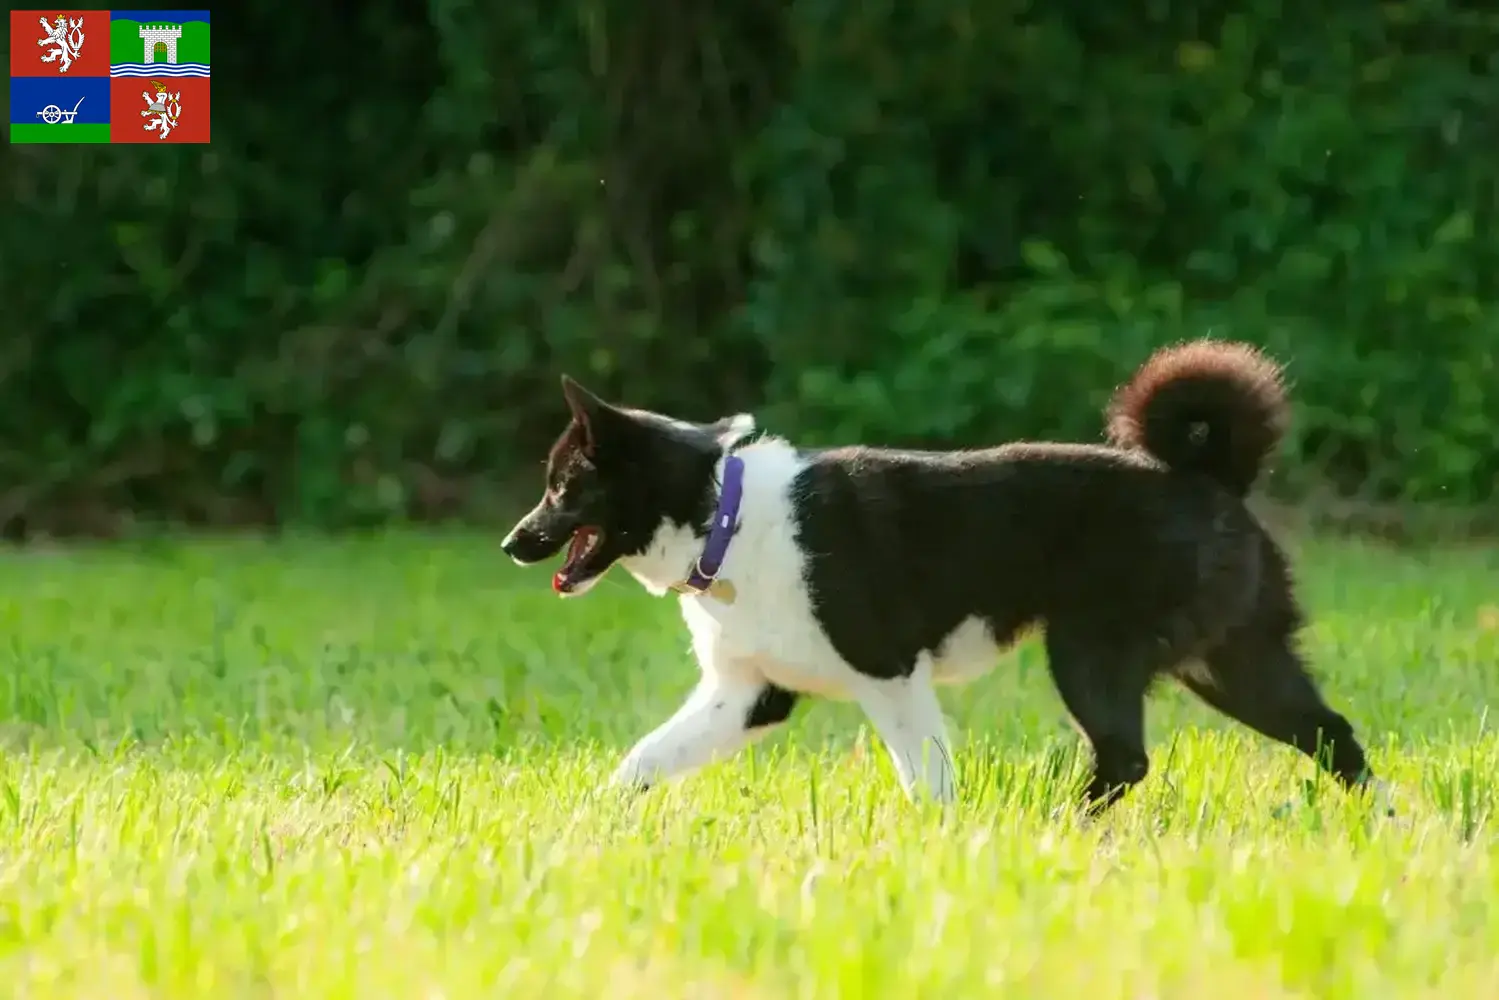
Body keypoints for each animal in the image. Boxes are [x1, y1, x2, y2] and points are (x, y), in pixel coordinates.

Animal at [500, 340, 1379, 815]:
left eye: (562, 485)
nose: (512, 543)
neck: (725, 511)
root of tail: (1210, 475)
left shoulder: (888, 674)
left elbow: (925, 778)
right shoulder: (748, 694)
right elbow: (644, 759)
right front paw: (590, 824)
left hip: (1088, 650)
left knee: (1125, 758)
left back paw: (1060, 825)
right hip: (1228, 659)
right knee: (1331, 735)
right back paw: (1387, 827)